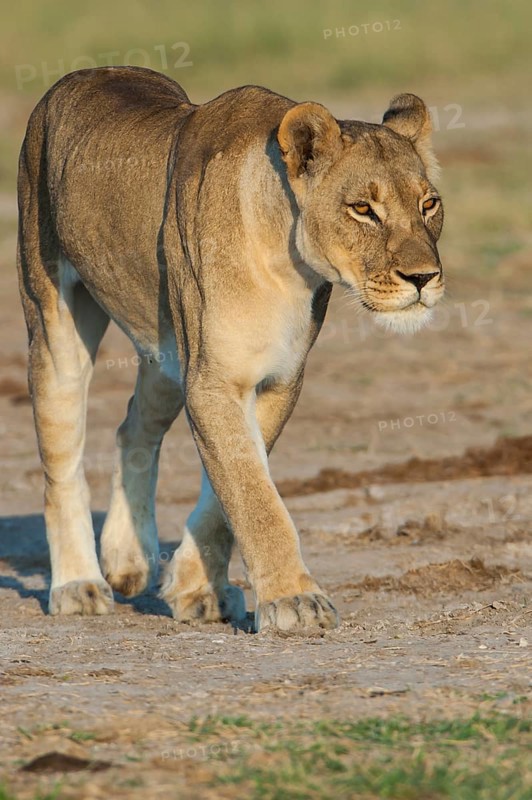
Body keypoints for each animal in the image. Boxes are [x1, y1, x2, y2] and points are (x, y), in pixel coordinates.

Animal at [17, 67, 444, 632]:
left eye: (428, 204)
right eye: (363, 209)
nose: (424, 278)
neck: (288, 263)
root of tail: (84, 73)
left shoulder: (276, 379)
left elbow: (227, 497)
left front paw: (197, 589)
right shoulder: (213, 380)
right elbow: (255, 498)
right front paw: (295, 599)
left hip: (167, 350)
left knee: (134, 426)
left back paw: (128, 558)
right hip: (55, 321)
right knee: (61, 459)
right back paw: (77, 585)